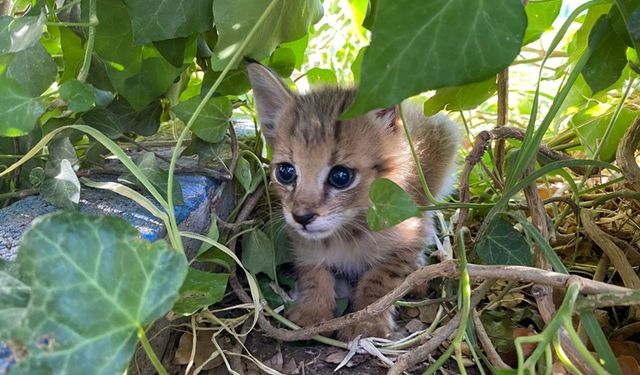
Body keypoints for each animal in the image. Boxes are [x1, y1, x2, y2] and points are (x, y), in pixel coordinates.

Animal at [245, 64, 460, 340]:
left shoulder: (409, 235)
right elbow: (313, 271)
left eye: (341, 176)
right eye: (285, 172)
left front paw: (367, 321)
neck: (346, 232)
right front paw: (313, 310)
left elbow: (380, 280)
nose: (301, 217)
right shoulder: (303, 244)